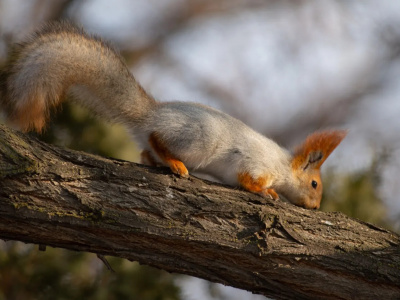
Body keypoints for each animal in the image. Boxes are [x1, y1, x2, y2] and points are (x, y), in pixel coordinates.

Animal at [0, 21, 346, 209]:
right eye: (314, 184)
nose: (316, 207)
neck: (283, 167)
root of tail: (148, 116)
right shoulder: (256, 164)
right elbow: (249, 181)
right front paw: (267, 192)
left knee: (145, 151)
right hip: (197, 140)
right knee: (156, 141)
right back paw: (175, 164)